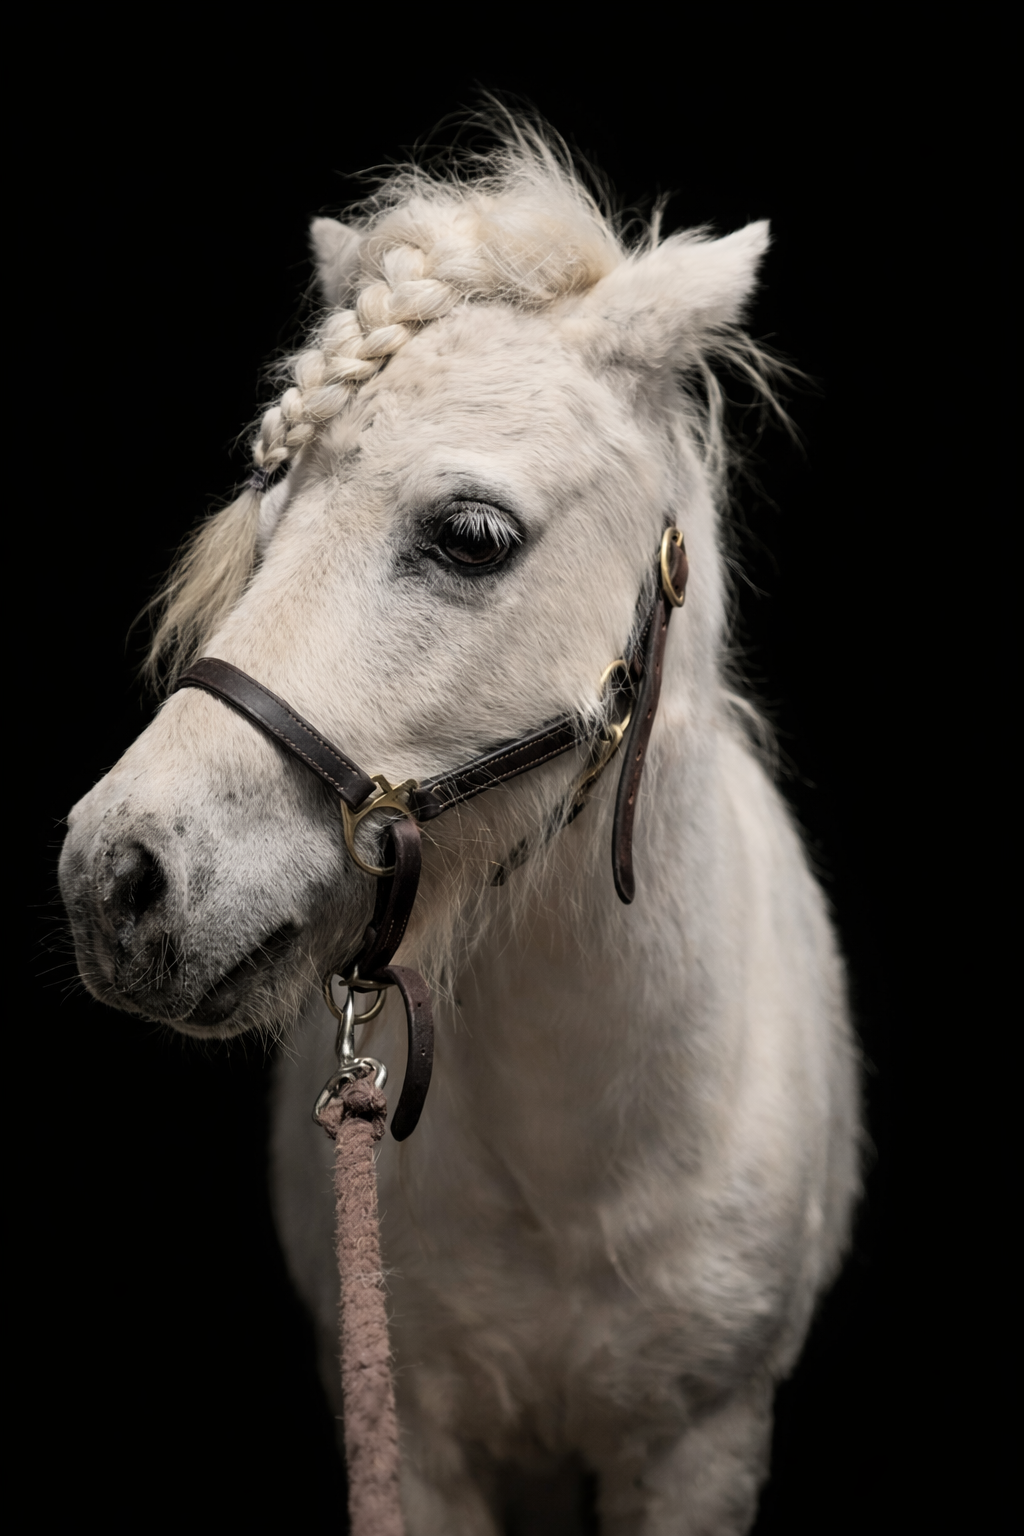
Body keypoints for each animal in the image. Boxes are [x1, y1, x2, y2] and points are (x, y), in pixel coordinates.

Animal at [59, 127, 860, 1535]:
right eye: (267, 513)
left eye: (471, 536)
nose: (118, 880)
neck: (574, 1164)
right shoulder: (419, 1439)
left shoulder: (701, 1447)